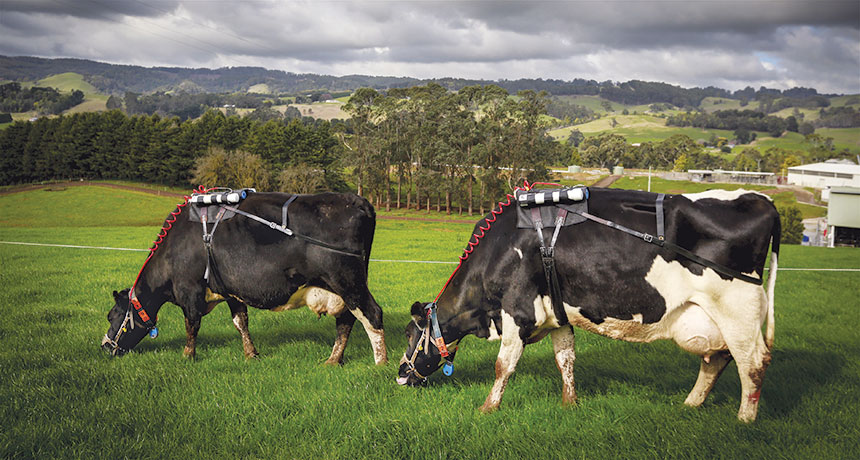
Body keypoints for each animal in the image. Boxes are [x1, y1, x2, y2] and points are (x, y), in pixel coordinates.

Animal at [101, 190, 386, 366]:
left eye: (112, 316)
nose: (105, 346)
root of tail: (355, 200)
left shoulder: (189, 290)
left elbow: (191, 325)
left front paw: (187, 356)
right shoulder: (231, 290)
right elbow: (241, 322)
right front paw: (251, 354)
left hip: (348, 282)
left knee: (372, 314)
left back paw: (380, 364)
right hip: (343, 288)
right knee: (346, 321)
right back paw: (333, 360)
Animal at [400, 187, 784, 420]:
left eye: (409, 334)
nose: (402, 375)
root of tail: (761, 200)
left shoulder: (518, 310)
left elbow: (503, 366)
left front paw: (487, 408)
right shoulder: (558, 315)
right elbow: (566, 360)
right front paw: (570, 403)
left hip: (738, 310)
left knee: (752, 364)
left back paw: (744, 421)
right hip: (712, 317)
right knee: (717, 359)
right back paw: (690, 404)